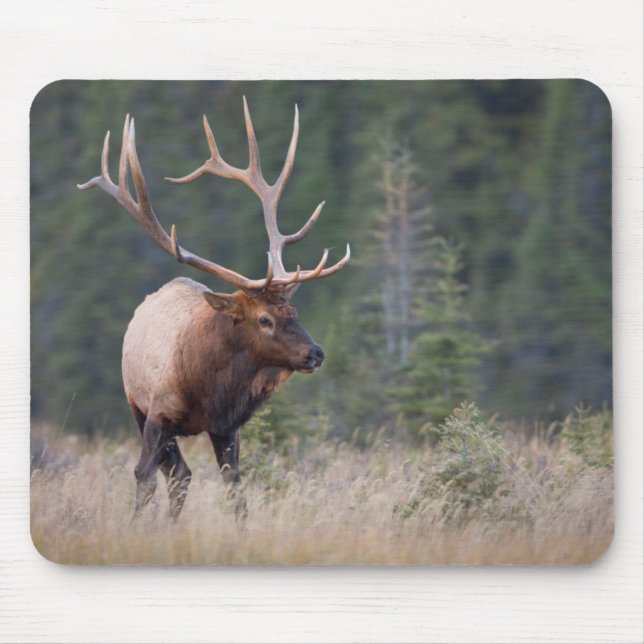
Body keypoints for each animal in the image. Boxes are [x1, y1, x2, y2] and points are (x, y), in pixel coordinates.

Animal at [78, 98, 350, 519]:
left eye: (294, 313)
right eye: (265, 319)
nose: (315, 353)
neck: (208, 387)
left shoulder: (227, 427)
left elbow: (235, 490)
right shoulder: (156, 414)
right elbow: (143, 477)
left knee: (182, 475)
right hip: (136, 405)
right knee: (174, 473)